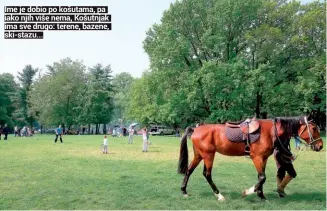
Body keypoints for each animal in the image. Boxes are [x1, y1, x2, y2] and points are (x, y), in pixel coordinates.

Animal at [179, 117, 326, 201]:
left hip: (199, 155)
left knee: (189, 171)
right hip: (209, 155)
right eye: (314, 128)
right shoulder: (257, 158)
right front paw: (248, 192)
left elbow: (260, 177)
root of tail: (195, 129)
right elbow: (262, 178)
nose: (320, 145)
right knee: (207, 174)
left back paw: (184, 191)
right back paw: (219, 195)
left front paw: (261, 195)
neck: (270, 132)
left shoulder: (263, 159)